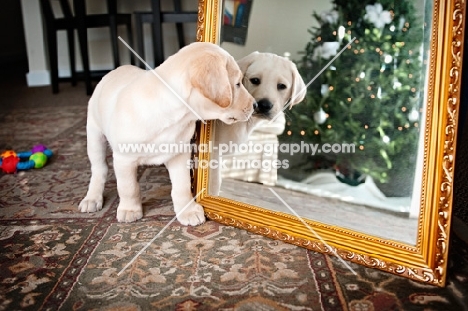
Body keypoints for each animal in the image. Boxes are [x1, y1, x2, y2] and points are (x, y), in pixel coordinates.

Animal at [81, 42, 256, 227]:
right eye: (237, 84)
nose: (255, 105)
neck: (177, 116)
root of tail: (116, 70)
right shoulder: (124, 159)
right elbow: (128, 187)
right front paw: (130, 209)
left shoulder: (179, 155)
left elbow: (182, 187)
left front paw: (188, 211)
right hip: (94, 135)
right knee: (99, 169)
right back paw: (92, 198)